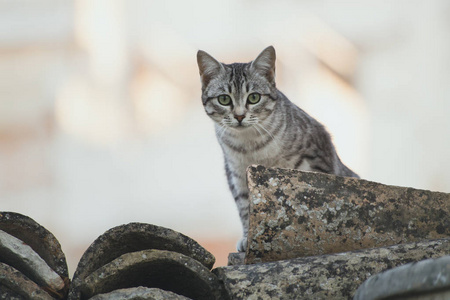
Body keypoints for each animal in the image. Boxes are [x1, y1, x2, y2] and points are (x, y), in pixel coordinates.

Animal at [197, 45, 358, 252]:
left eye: (254, 97)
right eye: (224, 99)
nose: (239, 116)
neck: (251, 146)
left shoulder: (316, 156)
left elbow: (316, 203)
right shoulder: (235, 172)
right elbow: (244, 207)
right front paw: (248, 237)